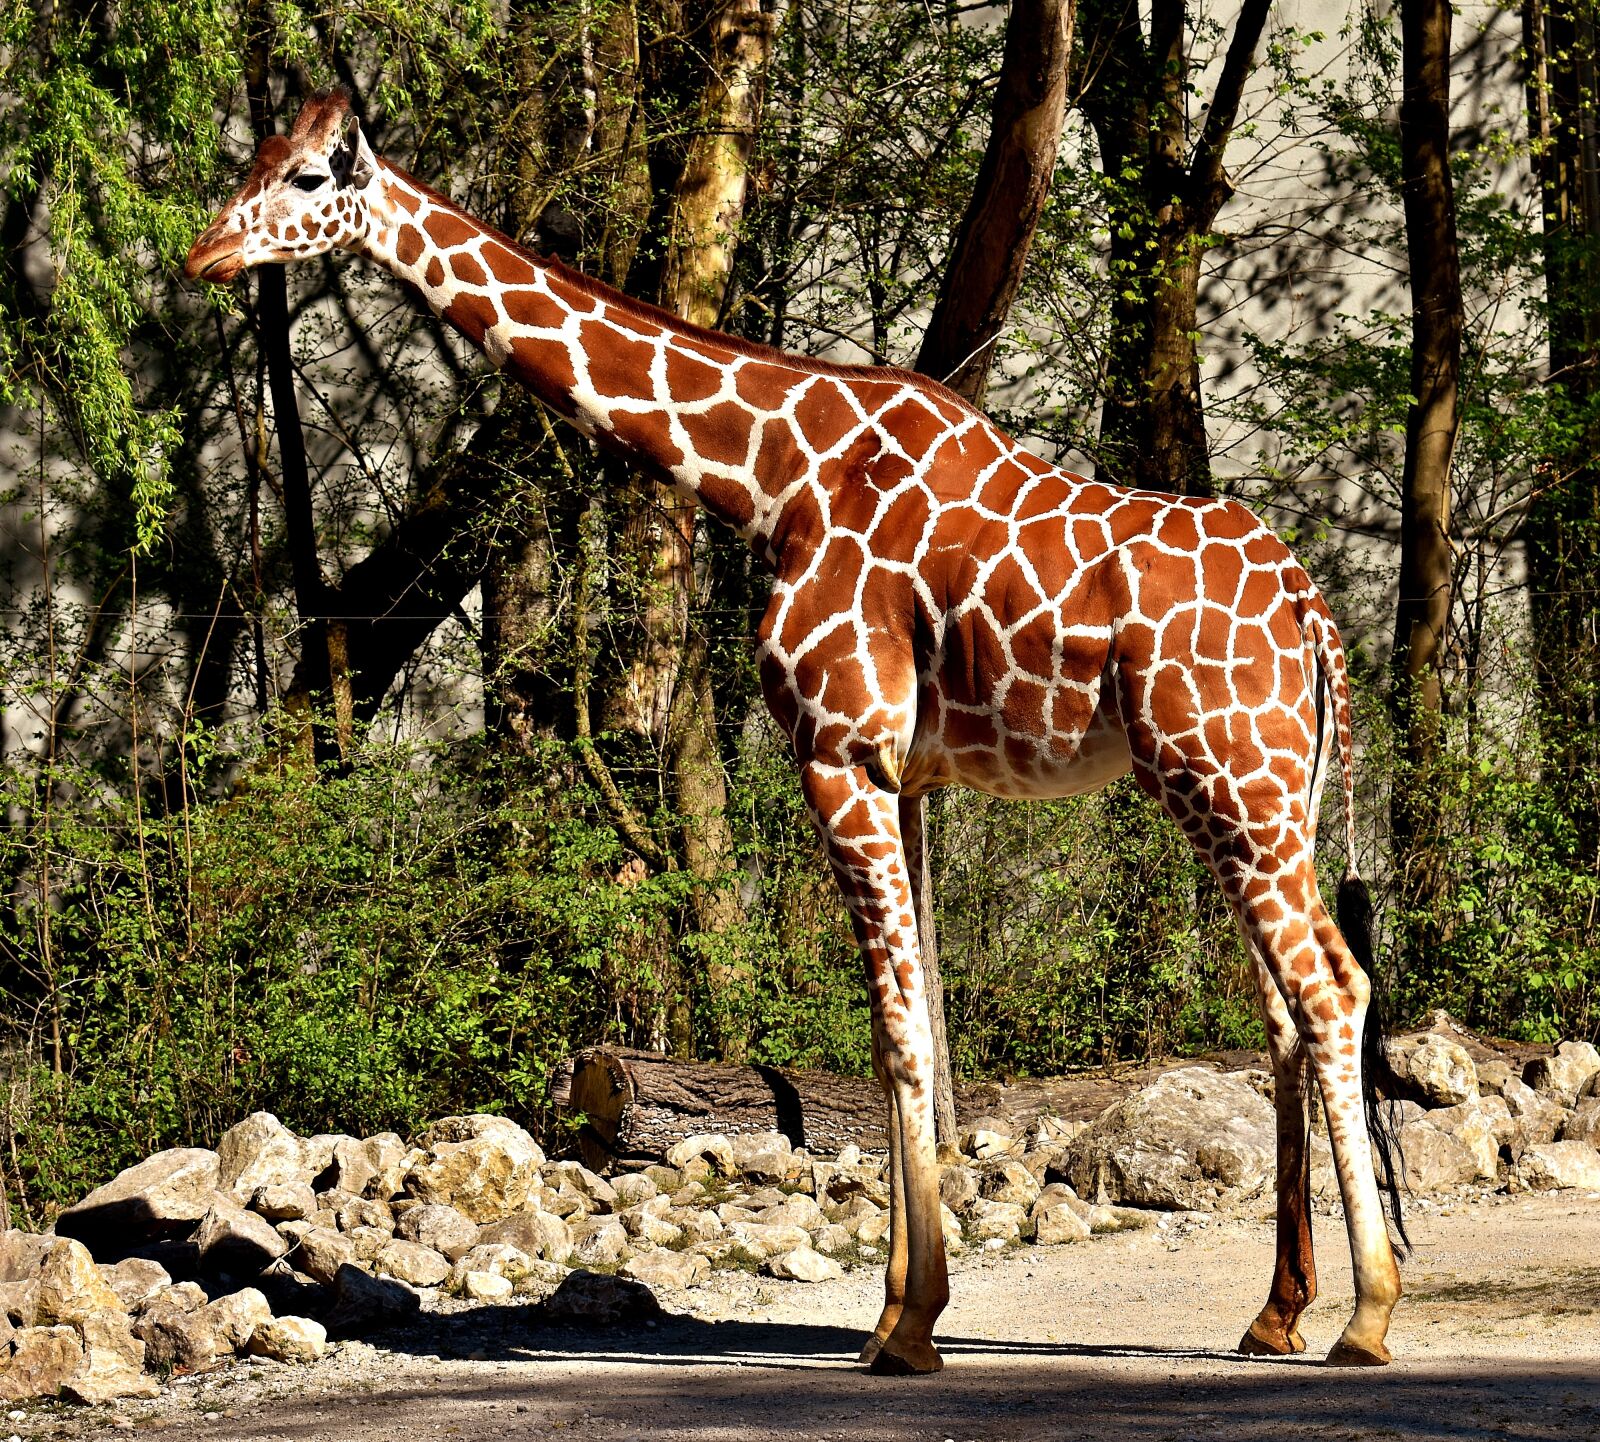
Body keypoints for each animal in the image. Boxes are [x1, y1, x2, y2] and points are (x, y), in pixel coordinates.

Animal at [186, 90, 1406, 1373]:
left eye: (309, 177)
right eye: (259, 157)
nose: (204, 251)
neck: (771, 472)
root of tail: (1313, 608)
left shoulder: (838, 749)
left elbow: (899, 1036)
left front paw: (906, 1326)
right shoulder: (905, 774)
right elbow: (907, 1029)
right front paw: (905, 1309)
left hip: (1228, 780)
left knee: (1331, 990)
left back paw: (1365, 1315)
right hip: (1261, 791)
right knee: (1288, 1007)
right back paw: (1275, 1310)